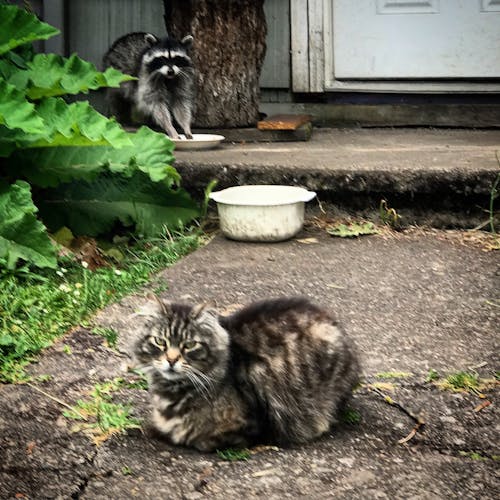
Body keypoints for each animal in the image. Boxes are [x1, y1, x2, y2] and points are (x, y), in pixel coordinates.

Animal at [133, 294, 360, 452]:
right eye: (160, 341)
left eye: (189, 345)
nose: (171, 360)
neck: (172, 393)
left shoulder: (251, 426)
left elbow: (199, 440)